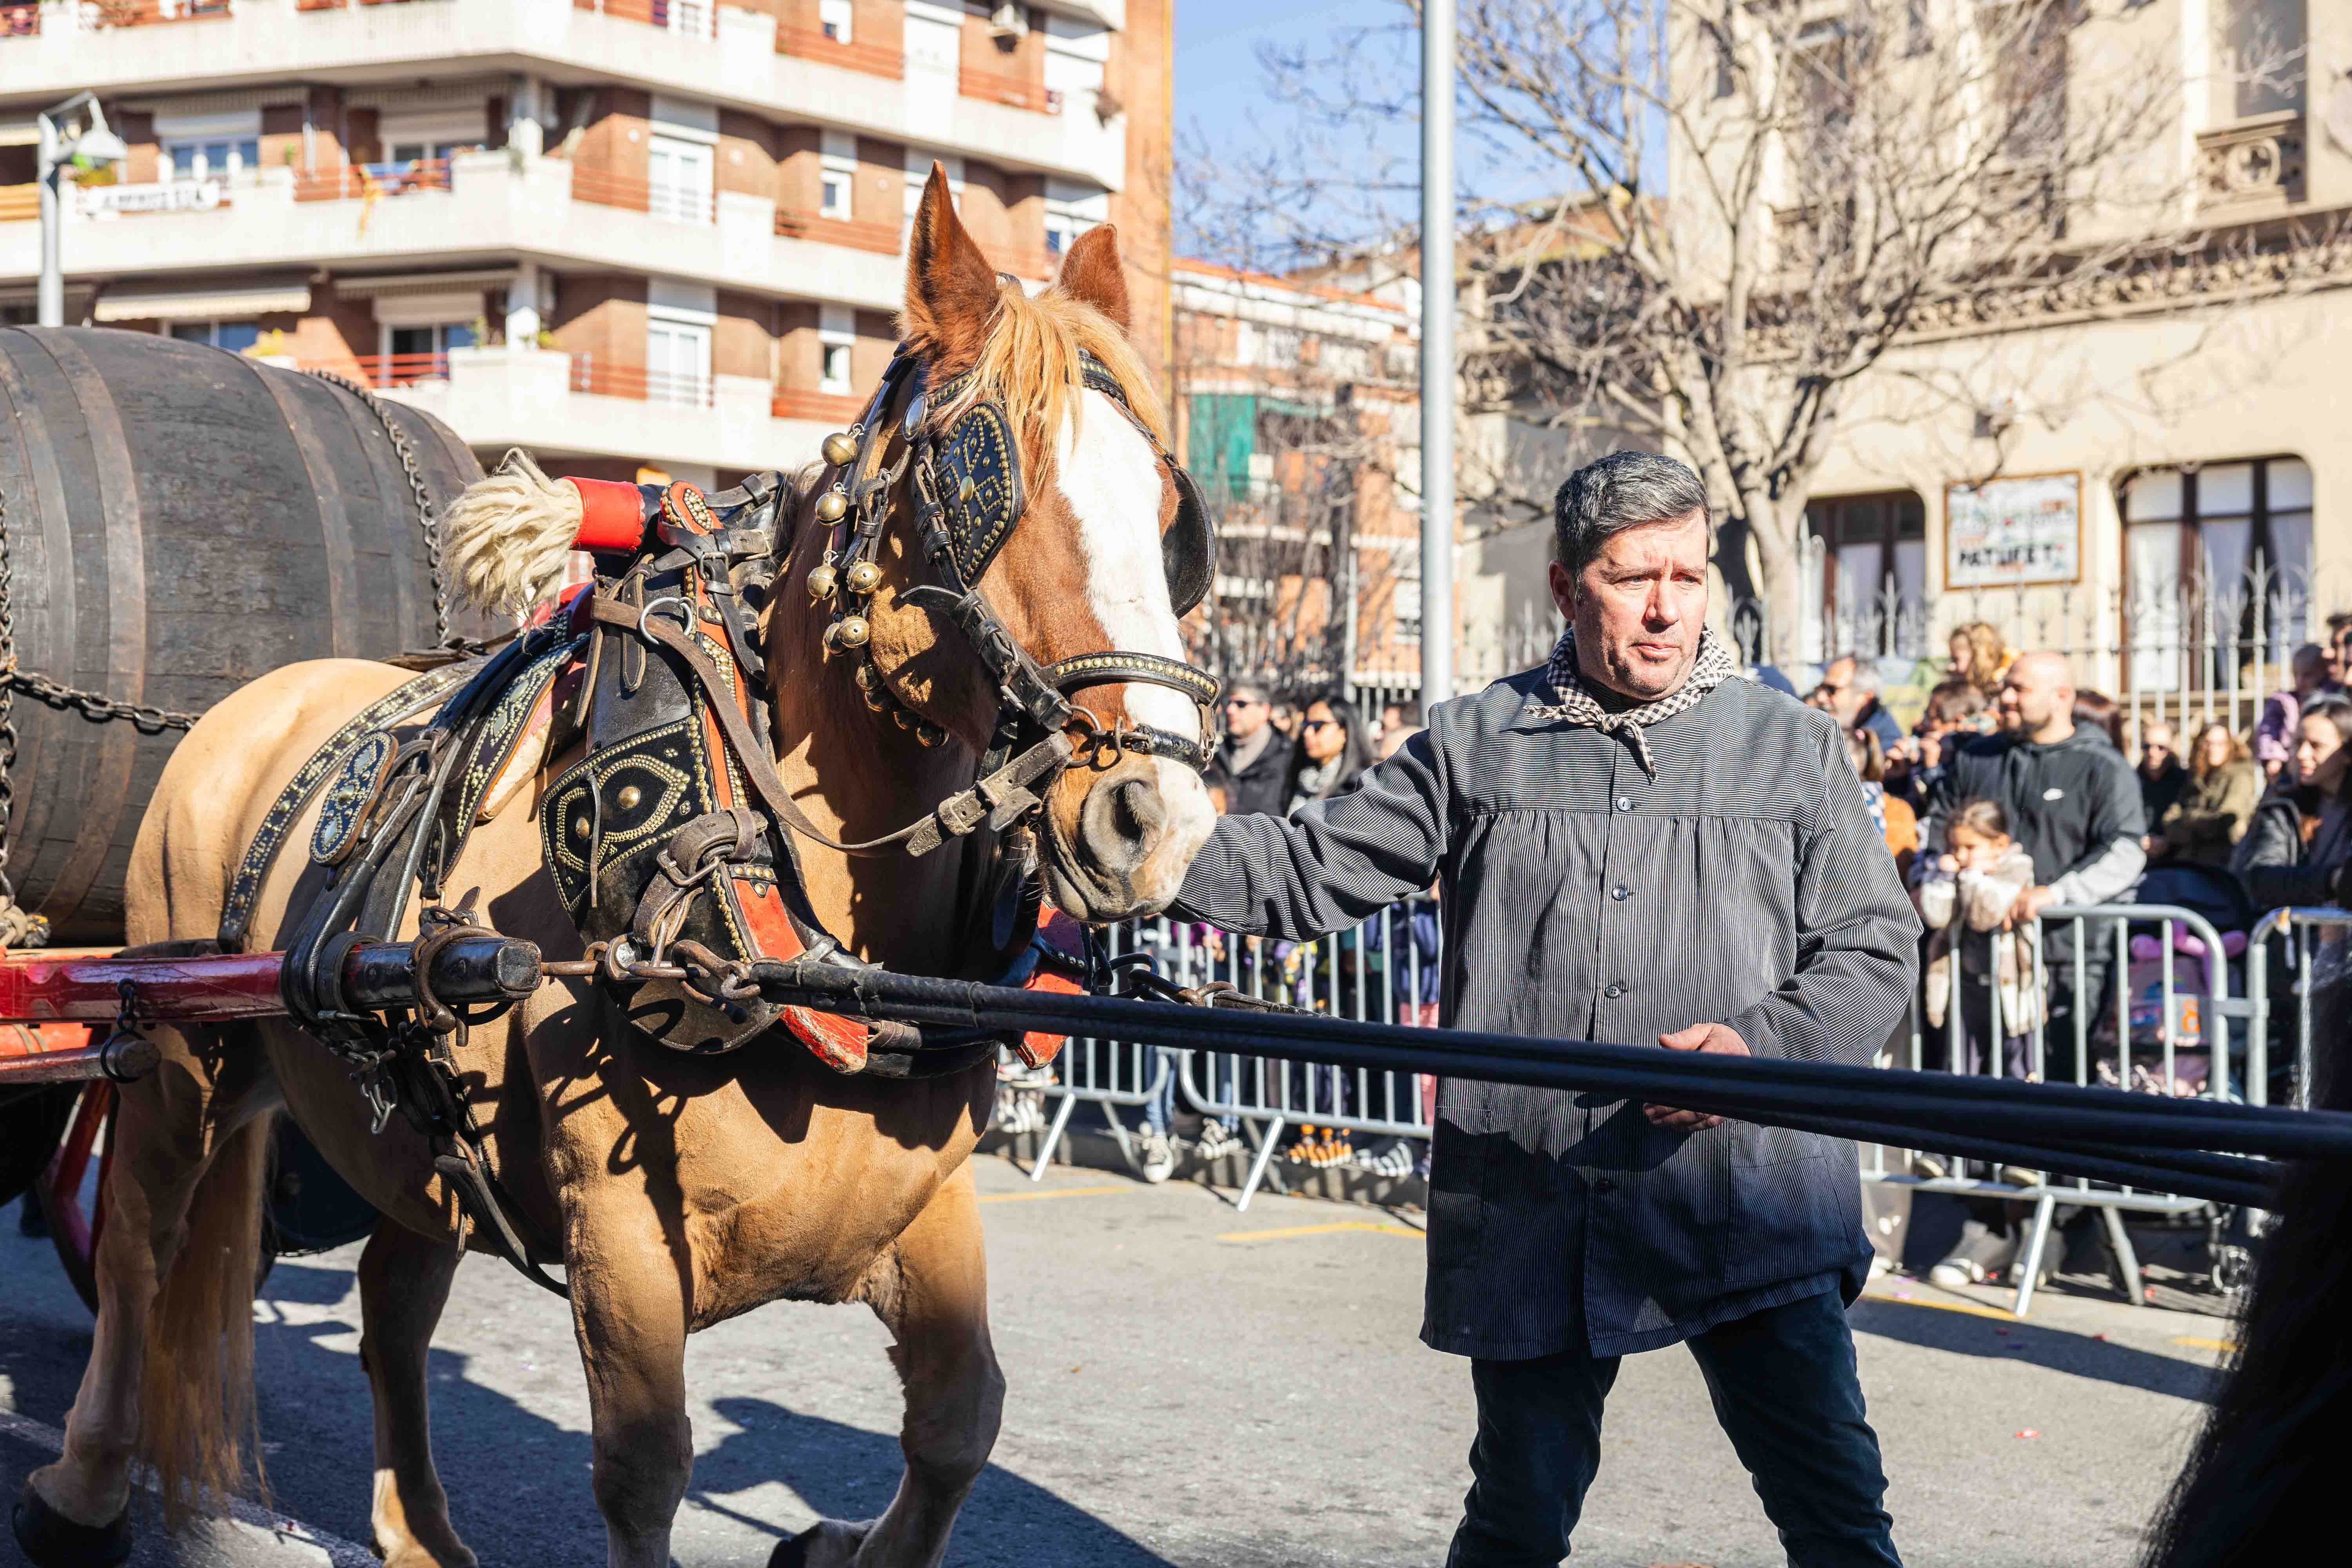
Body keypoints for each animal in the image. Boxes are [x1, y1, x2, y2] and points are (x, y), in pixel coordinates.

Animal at [23, 165, 1214, 1561]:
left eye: (1169, 516)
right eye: (983, 486)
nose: (1157, 815)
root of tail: (240, 709)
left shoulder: (920, 1203)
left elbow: (959, 1424)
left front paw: (832, 1541)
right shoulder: (620, 1228)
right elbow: (647, 1467)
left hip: (420, 1130)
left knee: (389, 1303)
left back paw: (418, 1528)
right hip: (174, 1058)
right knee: (139, 1254)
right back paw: (83, 1487)